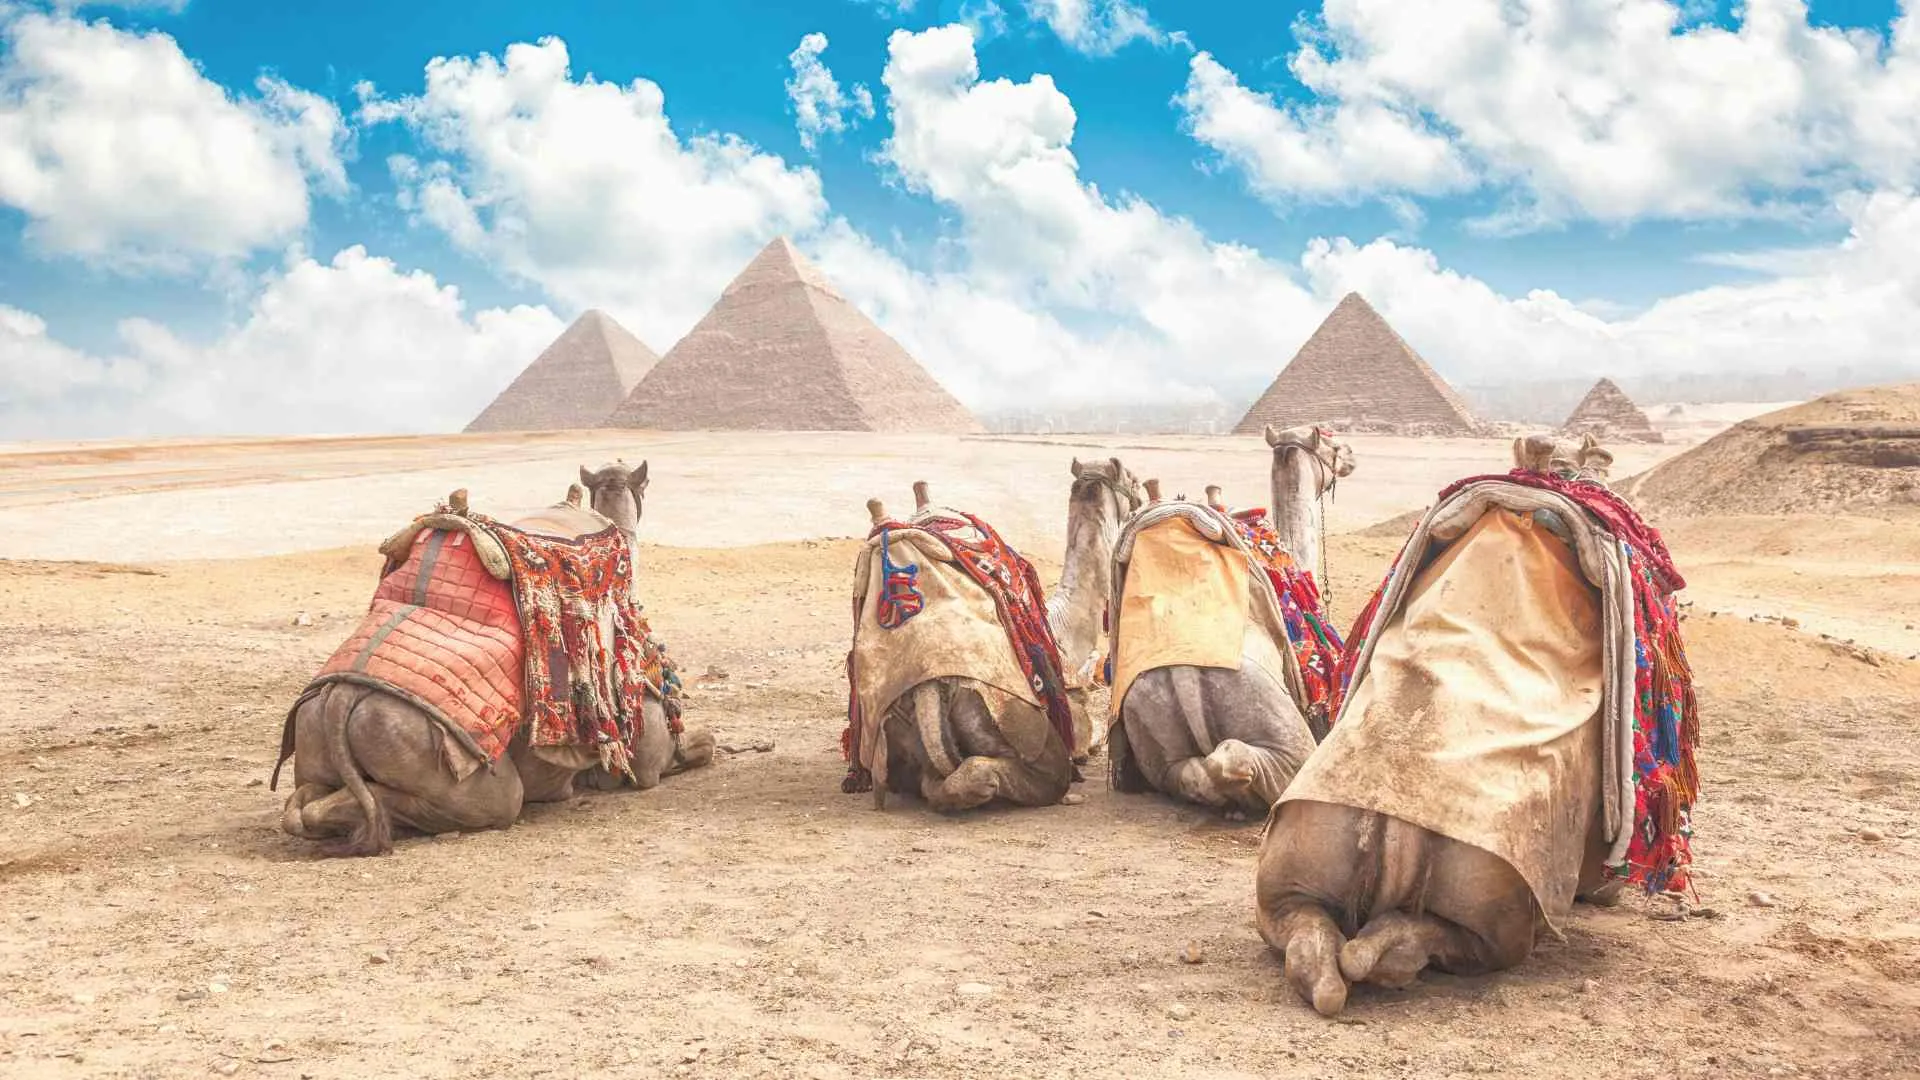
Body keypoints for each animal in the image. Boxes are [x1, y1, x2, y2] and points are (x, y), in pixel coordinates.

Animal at [277, 468, 712, 857]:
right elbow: (699, 746)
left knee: (304, 807)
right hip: (428, 750)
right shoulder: (646, 755)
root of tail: (340, 700)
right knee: (496, 800)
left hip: (316, 729)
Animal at [1105, 425, 1355, 815]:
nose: (1351, 455)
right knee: (1241, 761)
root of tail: (1185, 677)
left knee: (1189, 773)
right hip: (1280, 732)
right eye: (1331, 443)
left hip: (1150, 730)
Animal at [1254, 433, 1699, 1016]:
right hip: (1496, 910)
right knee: (1445, 944)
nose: (1347, 456)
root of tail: (1388, 824)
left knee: (1316, 950)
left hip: (1288, 876)